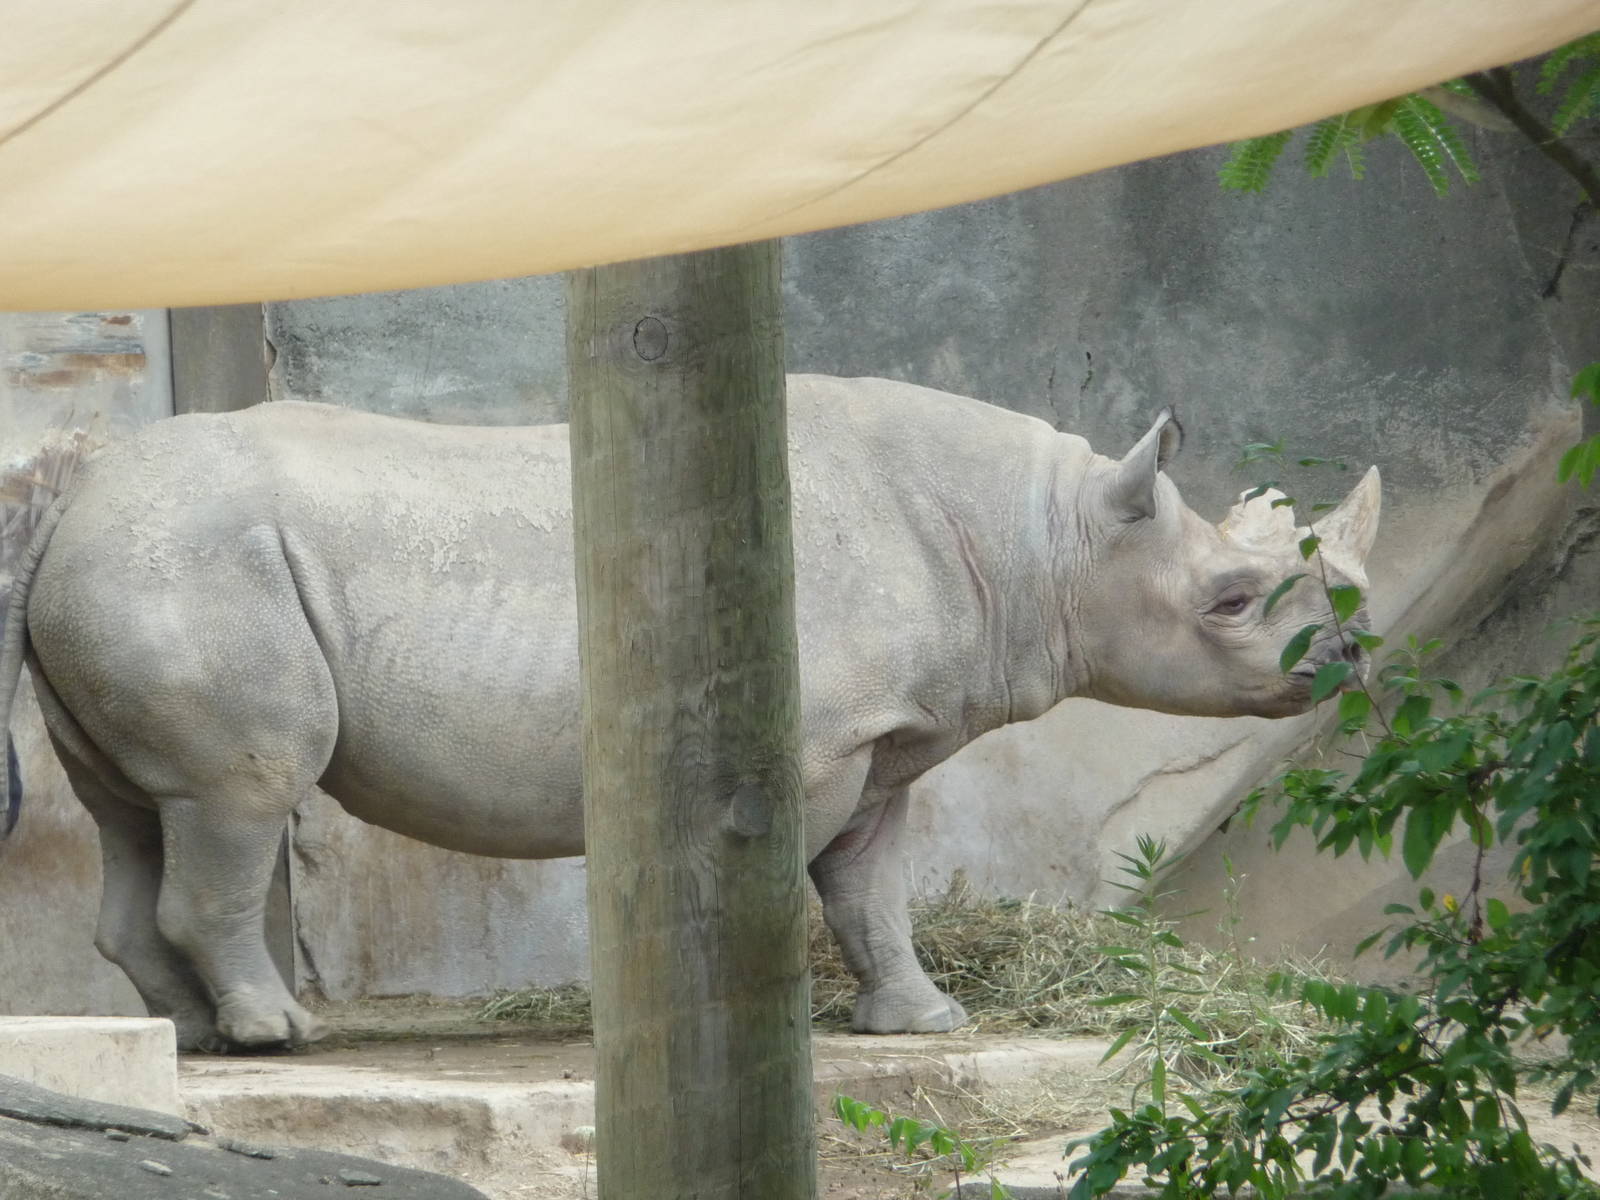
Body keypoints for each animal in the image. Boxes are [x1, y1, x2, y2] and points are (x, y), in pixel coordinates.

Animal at [0, 374, 1380, 1052]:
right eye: (1232, 600)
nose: (1351, 660)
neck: (1042, 536)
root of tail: (75, 486)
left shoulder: (889, 739)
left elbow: (870, 887)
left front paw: (923, 1023)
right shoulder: (819, 739)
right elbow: (794, 875)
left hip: (139, 562)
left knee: (136, 809)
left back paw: (195, 1040)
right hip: (188, 562)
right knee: (240, 794)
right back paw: (276, 1036)